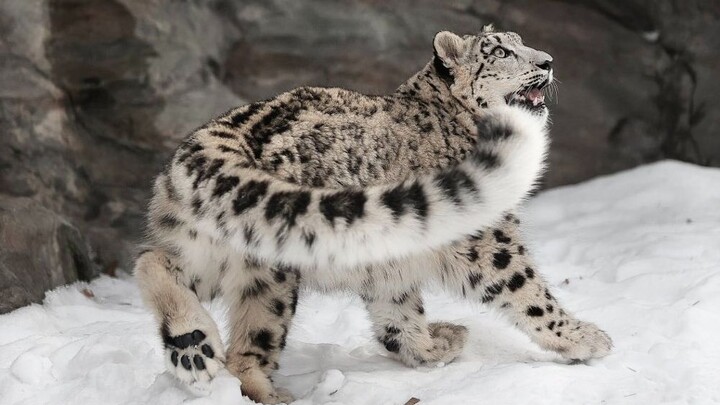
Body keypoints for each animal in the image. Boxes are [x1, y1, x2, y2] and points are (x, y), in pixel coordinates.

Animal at [134, 26, 612, 404]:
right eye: (499, 52)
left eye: (521, 43)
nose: (548, 61)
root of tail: (219, 141)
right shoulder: (488, 237)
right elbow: (526, 289)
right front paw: (585, 339)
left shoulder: (389, 264)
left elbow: (399, 314)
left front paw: (436, 345)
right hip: (269, 272)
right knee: (248, 345)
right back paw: (259, 387)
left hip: (203, 248)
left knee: (151, 261)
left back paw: (190, 345)